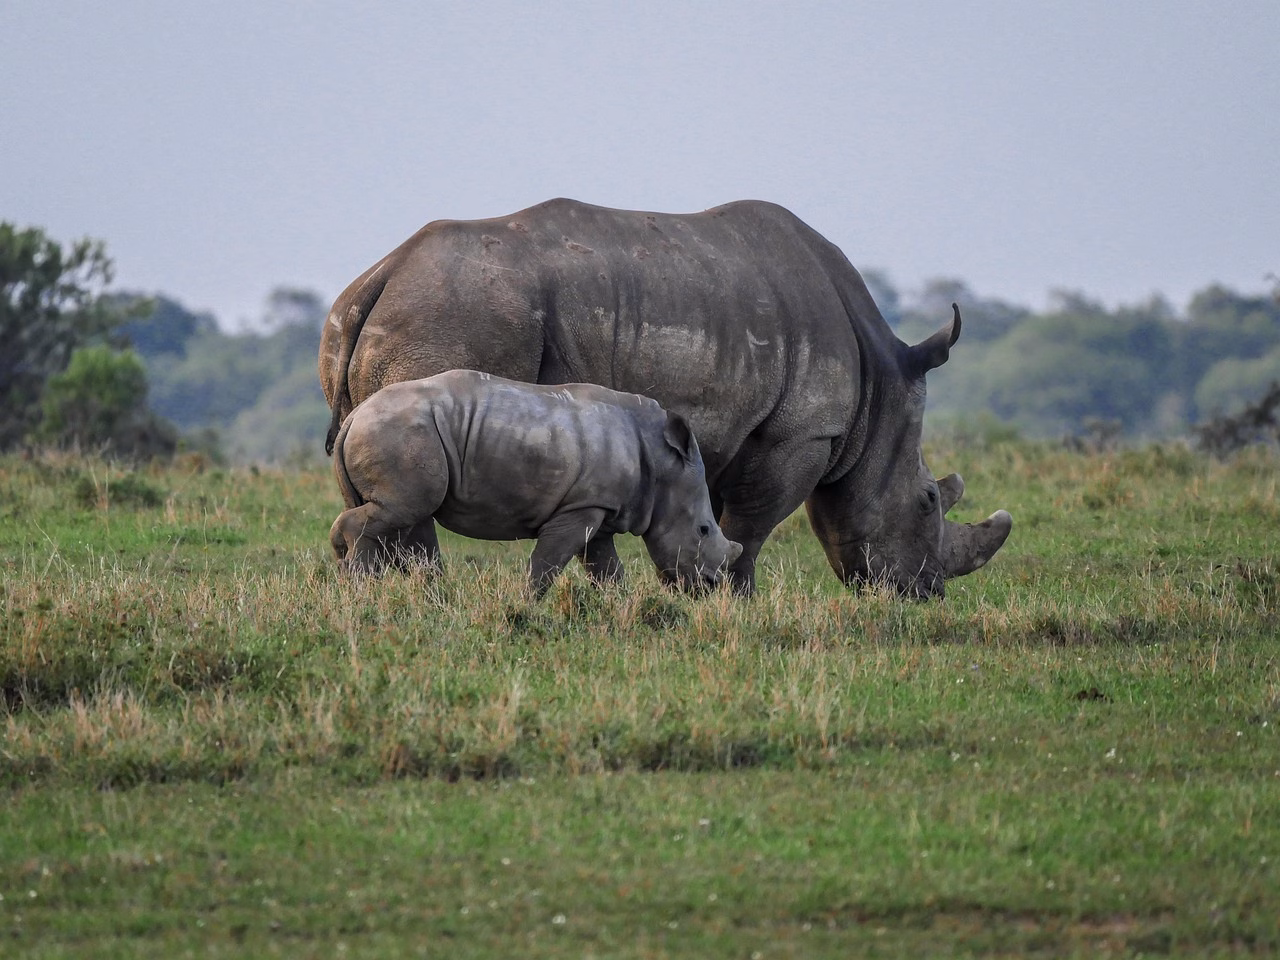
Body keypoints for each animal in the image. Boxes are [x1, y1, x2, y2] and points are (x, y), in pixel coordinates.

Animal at [329, 369, 743, 596]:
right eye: (703, 530)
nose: (710, 587)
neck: (661, 463)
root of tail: (354, 416)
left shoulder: (597, 507)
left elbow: (607, 570)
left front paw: (623, 608)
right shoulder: (581, 507)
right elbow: (548, 562)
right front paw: (524, 605)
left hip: (392, 431)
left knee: (397, 518)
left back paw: (357, 580)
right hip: (400, 432)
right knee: (404, 510)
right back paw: (362, 587)